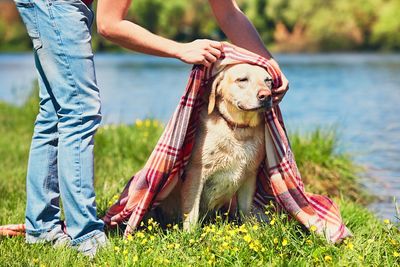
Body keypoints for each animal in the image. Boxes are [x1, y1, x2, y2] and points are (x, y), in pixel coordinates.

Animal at [158, 63, 274, 231]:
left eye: (268, 81)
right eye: (242, 79)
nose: (267, 95)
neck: (238, 130)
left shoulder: (250, 177)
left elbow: (245, 210)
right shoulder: (195, 175)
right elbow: (191, 213)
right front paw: (190, 235)